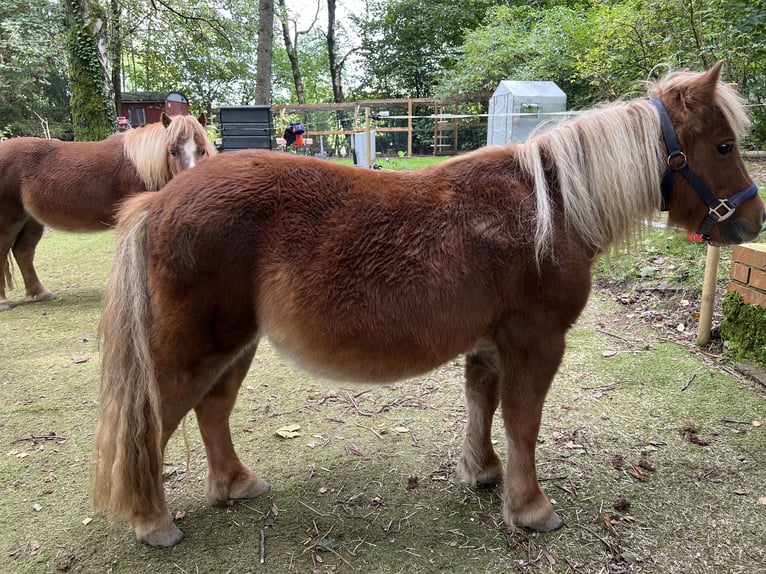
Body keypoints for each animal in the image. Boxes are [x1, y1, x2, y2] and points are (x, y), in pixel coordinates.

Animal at [0, 112, 214, 310]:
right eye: (172, 151)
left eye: (203, 150)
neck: (141, 167)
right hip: (9, 221)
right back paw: (3, 302)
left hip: (31, 221)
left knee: (23, 252)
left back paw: (41, 292)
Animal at [93, 63, 764, 548]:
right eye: (724, 146)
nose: (752, 219)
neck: (550, 207)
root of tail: (159, 202)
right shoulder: (537, 342)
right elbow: (523, 422)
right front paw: (530, 507)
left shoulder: (490, 344)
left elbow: (483, 406)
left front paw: (483, 472)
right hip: (196, 349)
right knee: (153, 423)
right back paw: (155, 523)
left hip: (236, 345)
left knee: (213, 410)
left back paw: (236, 484)